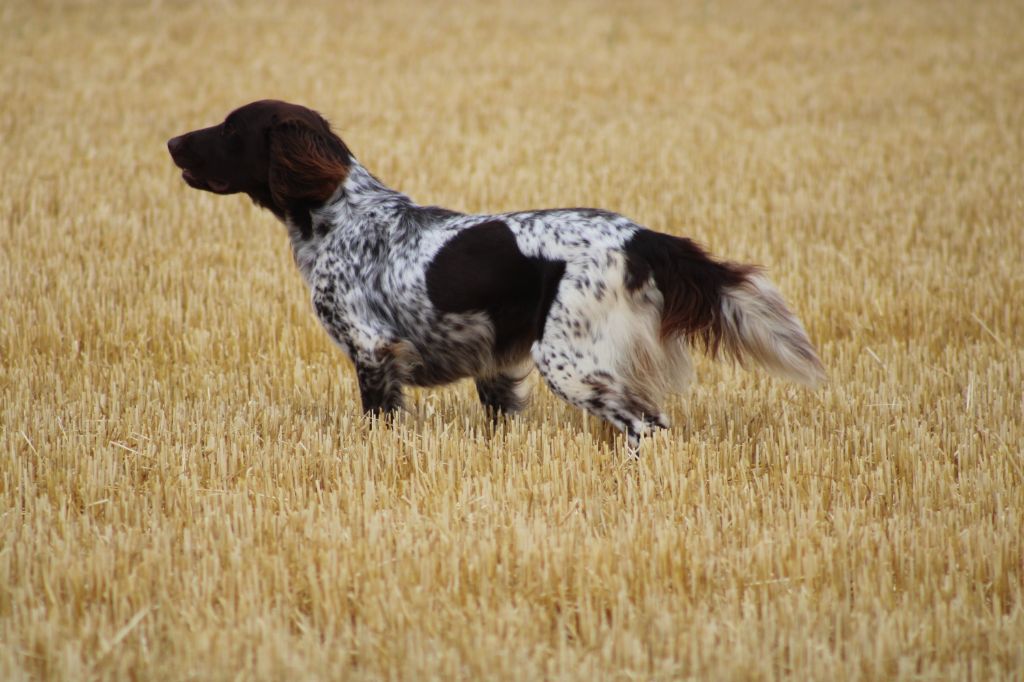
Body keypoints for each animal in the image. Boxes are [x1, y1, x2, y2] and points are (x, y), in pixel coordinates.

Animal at [165, 96, 823, 446]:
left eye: (231, 127)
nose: (171, 143)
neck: (341, 216)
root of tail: (643, 238)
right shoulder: (495, 368)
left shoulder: (373, 351)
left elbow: (379, 422)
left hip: (570, 361)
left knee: (645, 425)